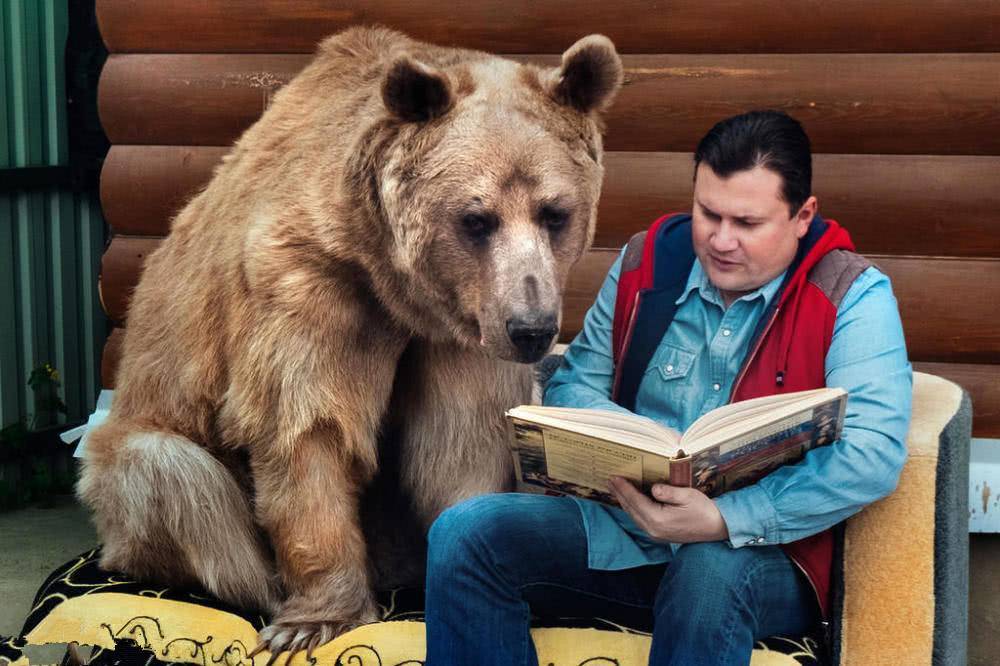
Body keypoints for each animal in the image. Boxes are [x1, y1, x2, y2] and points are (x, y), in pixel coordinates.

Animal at [77, 26, 622, 656]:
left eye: (554, 212)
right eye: (476, 218)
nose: (530, 329)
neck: (392, 282)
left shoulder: (462, 332)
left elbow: (459, 438)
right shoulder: (308, 283)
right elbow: (306, 424)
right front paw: (316, 618)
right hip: (144, 445)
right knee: (175, 479)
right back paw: (265, 589)